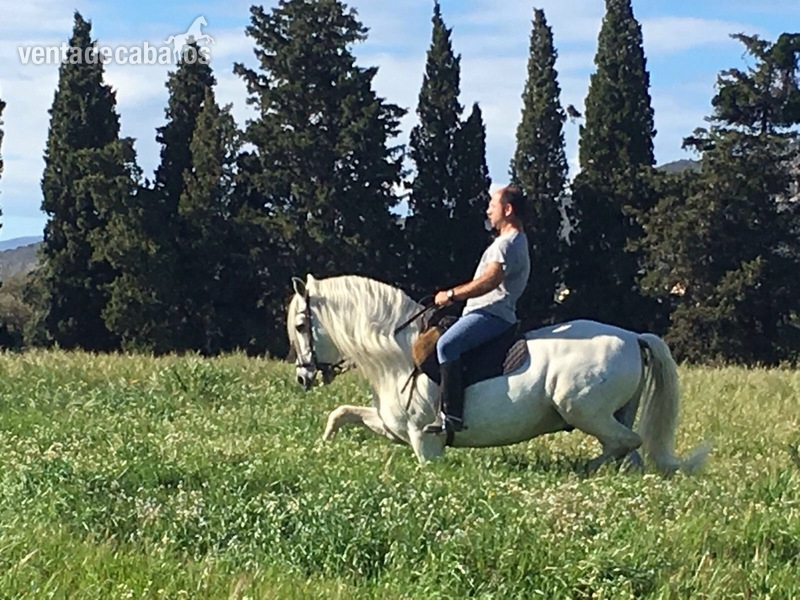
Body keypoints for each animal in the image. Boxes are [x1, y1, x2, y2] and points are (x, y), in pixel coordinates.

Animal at [287, 274, 709, 474]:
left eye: (301, 325)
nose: (303, 378)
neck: (399, 354)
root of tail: (633, 336)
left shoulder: (425, 441)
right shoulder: (392, 427)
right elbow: (341, 414)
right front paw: (322, 447)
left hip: (584, 412)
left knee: (627, 442)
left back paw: (584, 470)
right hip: (615, 413)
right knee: (630, 454)